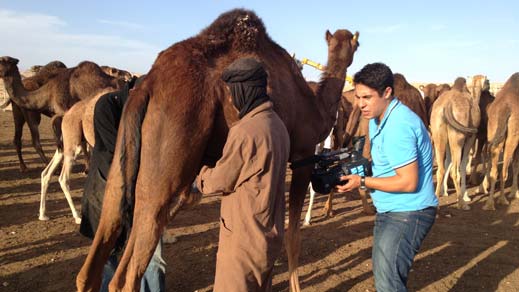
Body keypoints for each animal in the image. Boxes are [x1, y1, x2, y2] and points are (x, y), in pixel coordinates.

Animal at [77, 9, 360, 292]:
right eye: (357, 44)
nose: (355, 77)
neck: (316, 105)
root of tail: (146, 86)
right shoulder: (303, 155)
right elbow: (292, 236)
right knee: (129, 268)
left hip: (124, 158)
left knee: (98, 245)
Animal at [430, 77, 484, 210]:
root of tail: (446, 106)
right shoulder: (471, 137)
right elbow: (463, 165)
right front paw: (466, 196)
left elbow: (448, 161)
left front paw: (445, 191)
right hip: (458, 137)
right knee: (455, 170)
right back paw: (462, 203)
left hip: (438, 133)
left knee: (441, 168)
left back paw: (436, 202)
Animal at [484, 72, 519, 210]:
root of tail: (505, 107)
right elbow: (516, 165)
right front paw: (515, 193)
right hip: (513, 136)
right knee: (504, 170)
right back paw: (502, 199)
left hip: (493, 128)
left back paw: (489, 204)